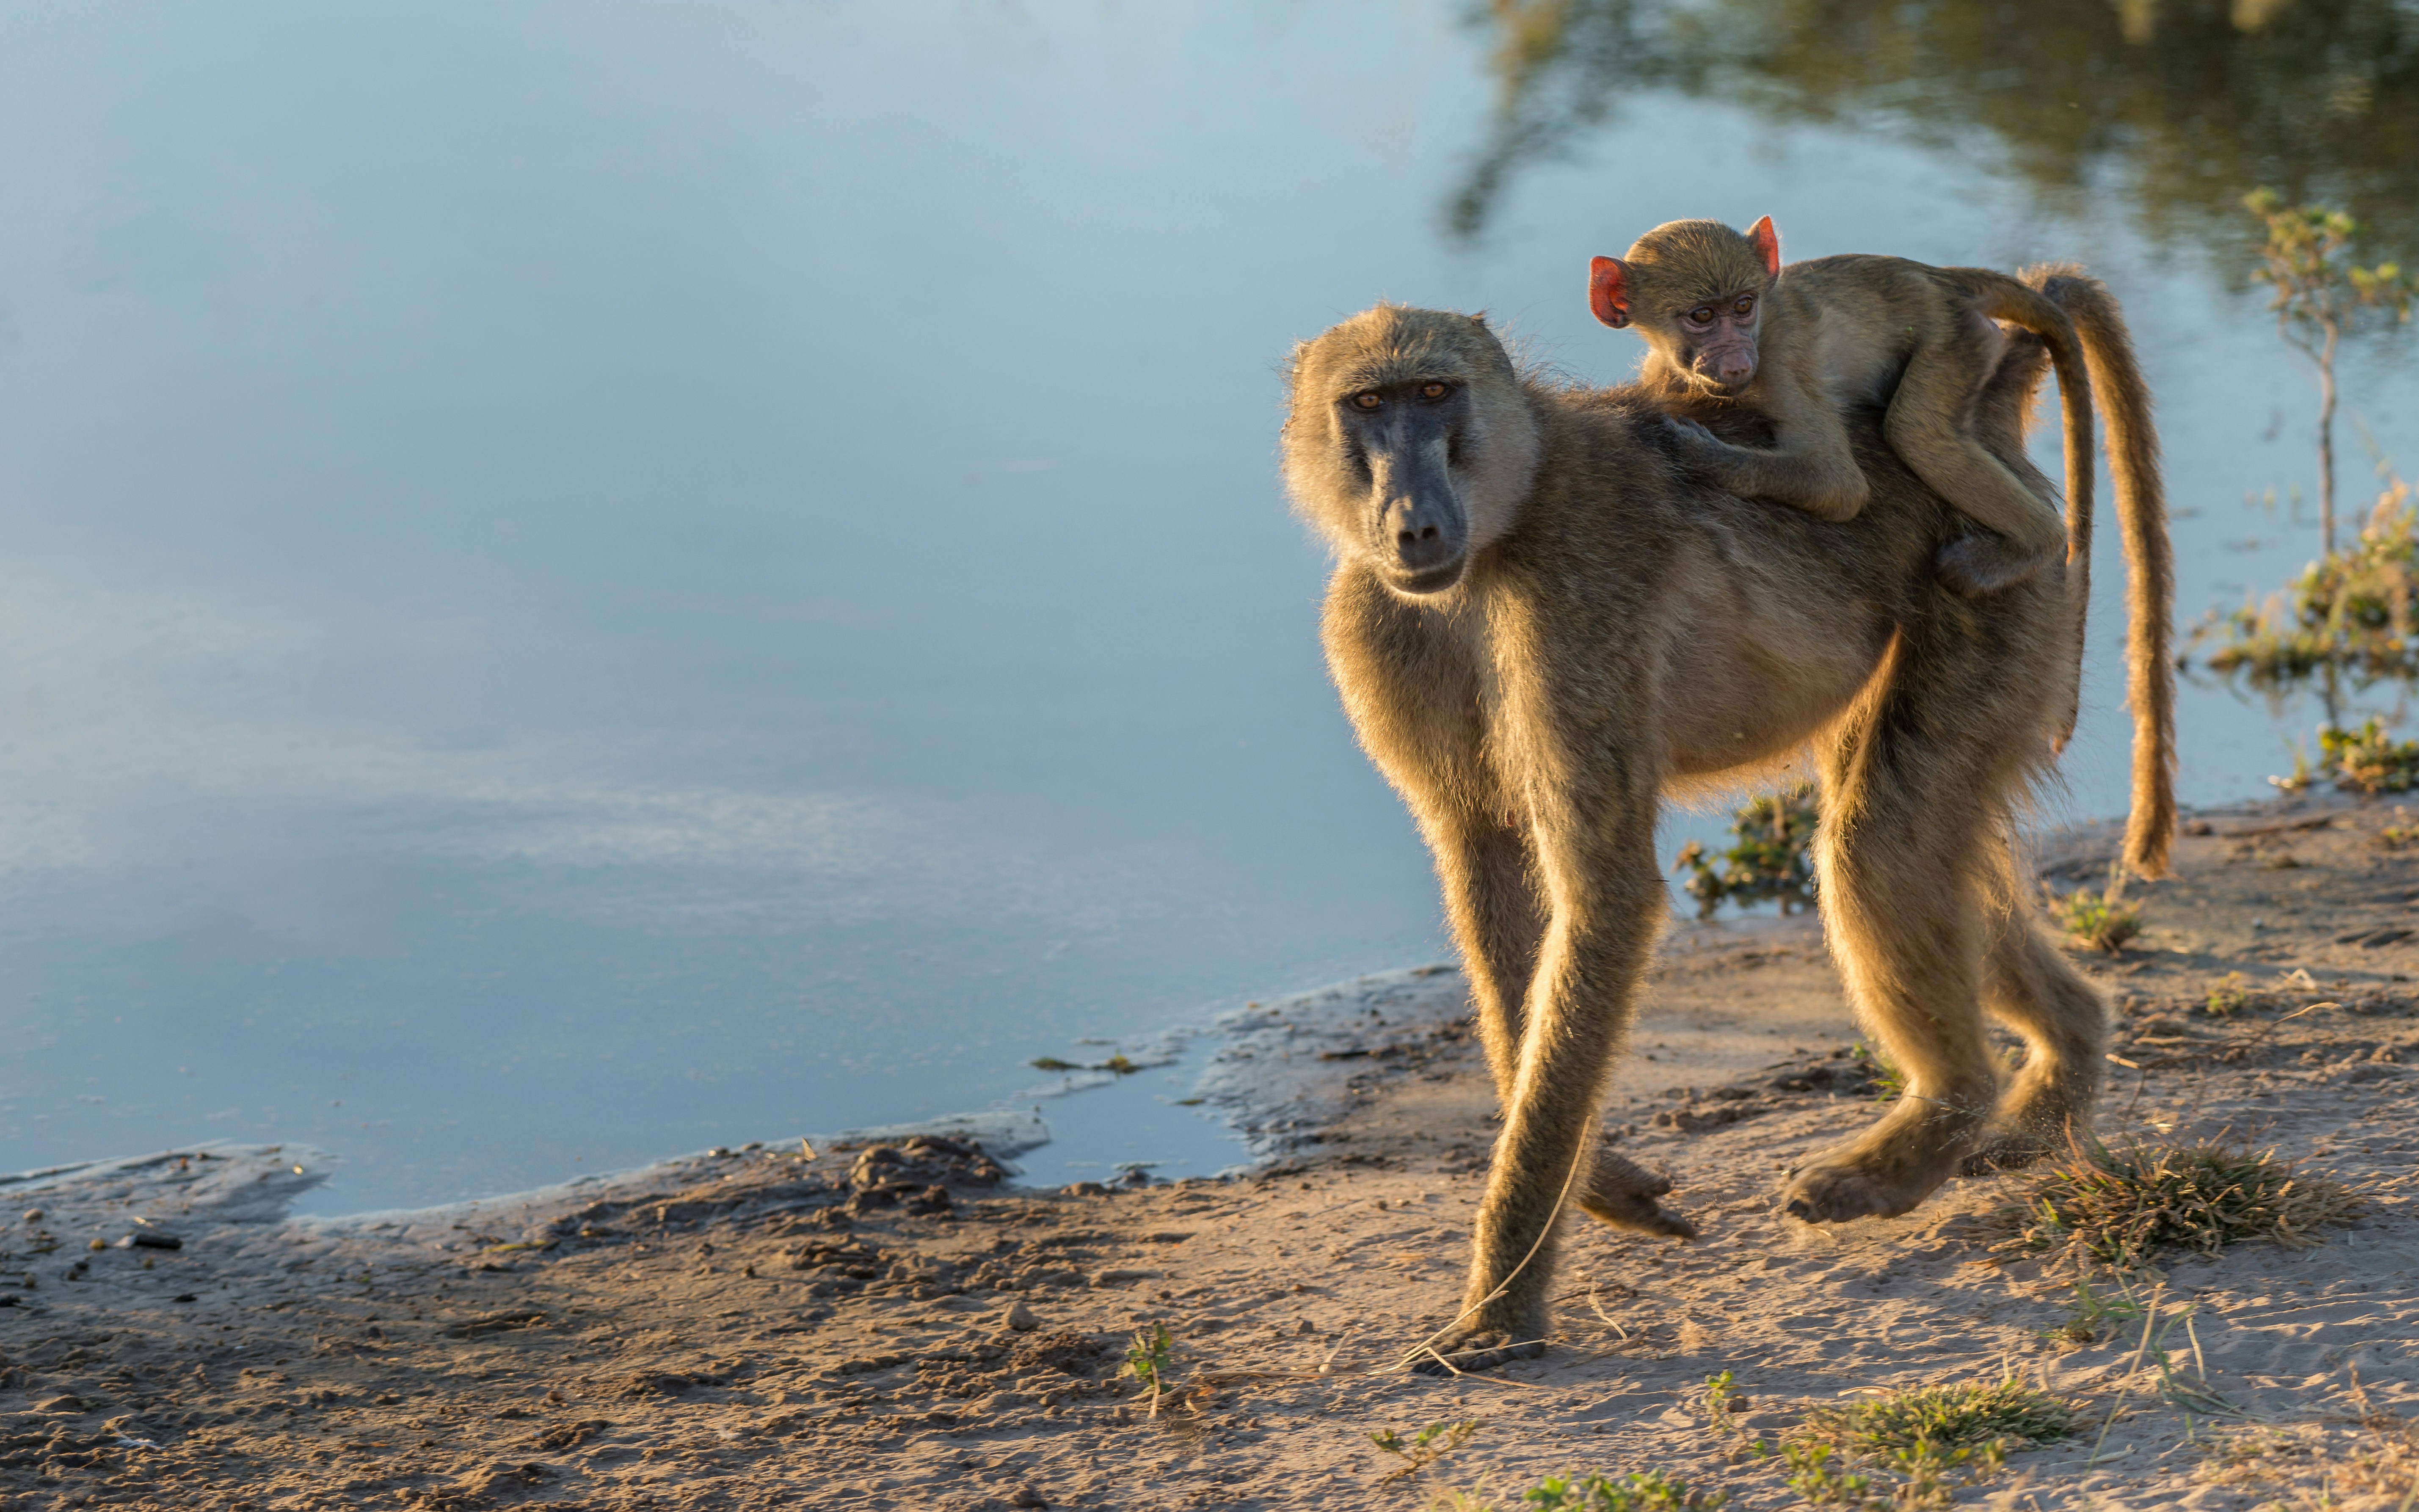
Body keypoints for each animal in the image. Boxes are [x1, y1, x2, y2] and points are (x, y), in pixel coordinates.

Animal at [1278, 297, 2172, 1373]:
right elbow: (1485, 865)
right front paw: (1598, 1175)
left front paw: (1501, 1307)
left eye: (1433, 393)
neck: (1499, 527)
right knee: (1929, 854)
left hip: (1992, 590)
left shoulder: (1576, 600)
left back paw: (1926, 1133)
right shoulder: (1378, 623)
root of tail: (1985, 430)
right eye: (1367, 406)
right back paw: (2054, 1078)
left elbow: (1605, 893)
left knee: (1877, 845)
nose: (1412, 521)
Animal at [1588, 217, 2130, 600]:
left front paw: (1700, 455)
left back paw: (2034, 544)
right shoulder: (1664, 371)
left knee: (1916, 434)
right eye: (1702, 316)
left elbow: (1839, 486)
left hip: (1958, 336)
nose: (1738, 360)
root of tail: (1939, 277)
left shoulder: (1778, 363)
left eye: (1743, 306)